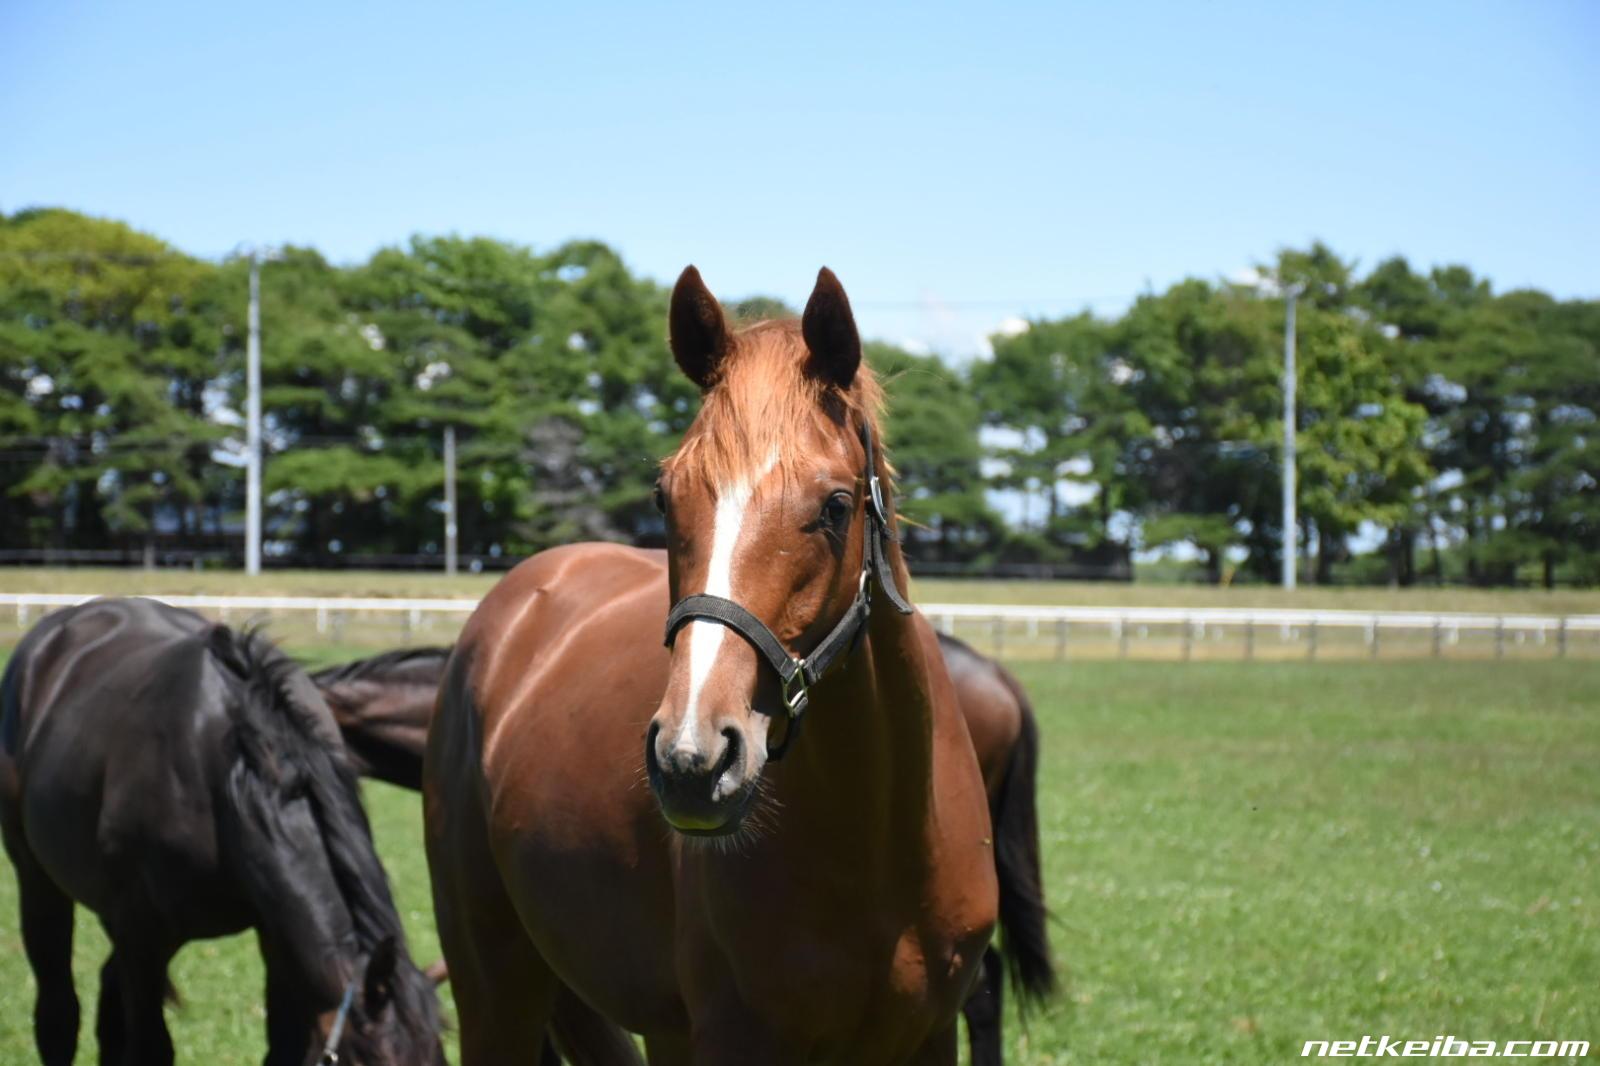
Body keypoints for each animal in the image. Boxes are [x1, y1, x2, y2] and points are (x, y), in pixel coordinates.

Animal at [425, 266, 1001, 1064]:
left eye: (836, 505)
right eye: (666, 496)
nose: (692, 759)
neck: (878, 845)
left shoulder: (930, 1035)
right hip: (494, 987)